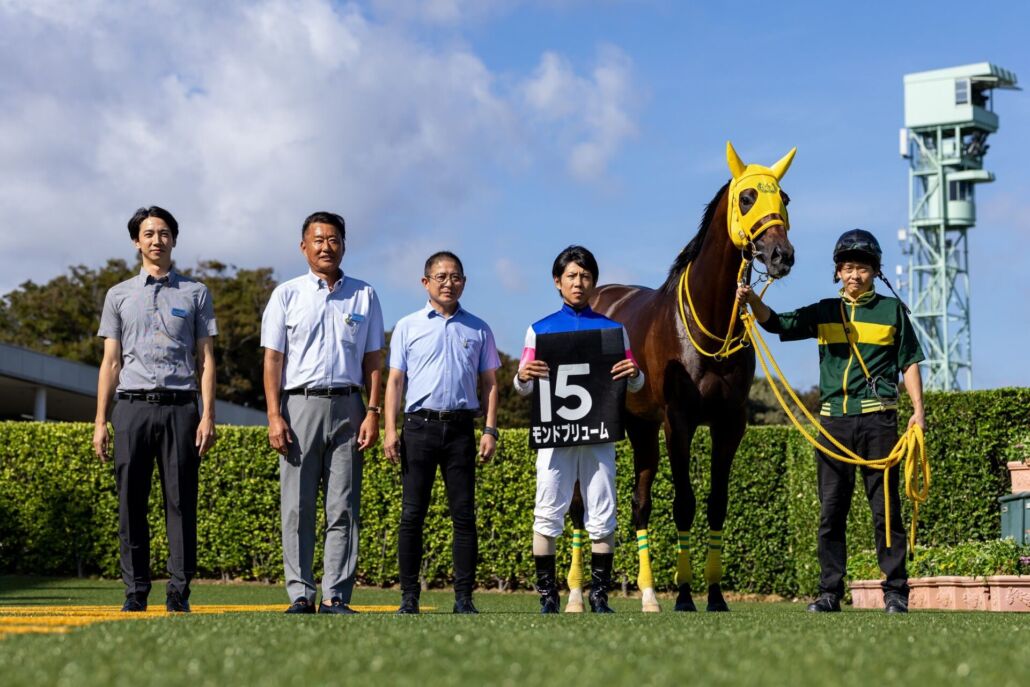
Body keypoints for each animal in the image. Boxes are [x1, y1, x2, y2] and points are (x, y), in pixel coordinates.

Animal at [588, 142, 797, 612]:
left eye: (785, 198)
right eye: (747, 198)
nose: (782, 255)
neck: (711, 321)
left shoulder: (729, 423)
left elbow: (717, 503)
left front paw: (715, 594)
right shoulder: (678, 422)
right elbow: (684, 503)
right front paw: (685, 594)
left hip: (641, 428)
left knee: (640, 503)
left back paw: (648, 594)